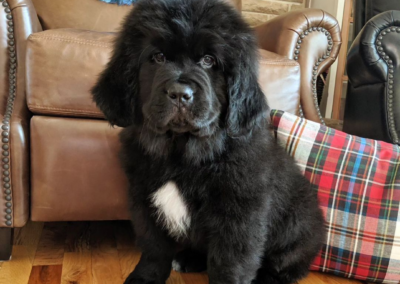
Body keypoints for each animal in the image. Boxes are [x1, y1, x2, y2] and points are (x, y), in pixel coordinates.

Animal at [92, 0, 326, 284]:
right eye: (158, 57)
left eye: (208, 60)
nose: (180, 94)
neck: (181, 152)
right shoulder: (143, 196)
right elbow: (153, 247)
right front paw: (145, 278)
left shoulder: (239, 213)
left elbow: (230, 263)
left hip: (296, 225)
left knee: (285, 265)